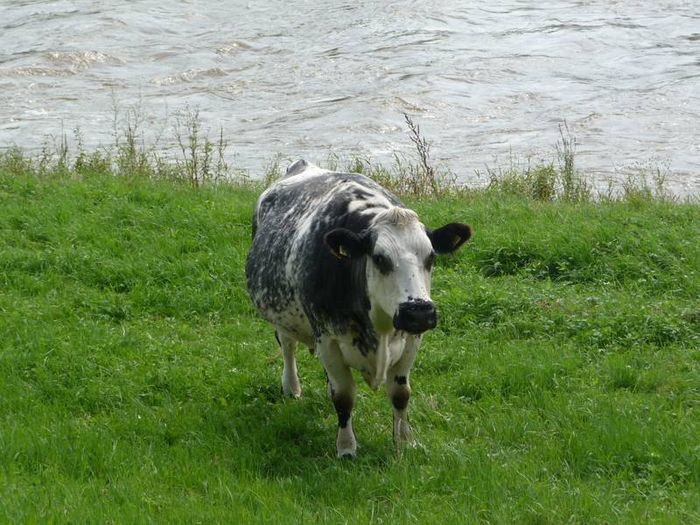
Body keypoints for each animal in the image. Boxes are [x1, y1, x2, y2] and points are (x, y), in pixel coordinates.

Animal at [245, 159, 471, 458]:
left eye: (431, 257)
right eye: (379, 258)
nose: (419, 312)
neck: (380, 329)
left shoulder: (412, 340)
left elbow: (401, 395)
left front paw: (404, 442)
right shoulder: (328, 339)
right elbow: (343, 396)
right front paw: (346, 448)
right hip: (282, 315)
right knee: (287, 346)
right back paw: (291, 387)